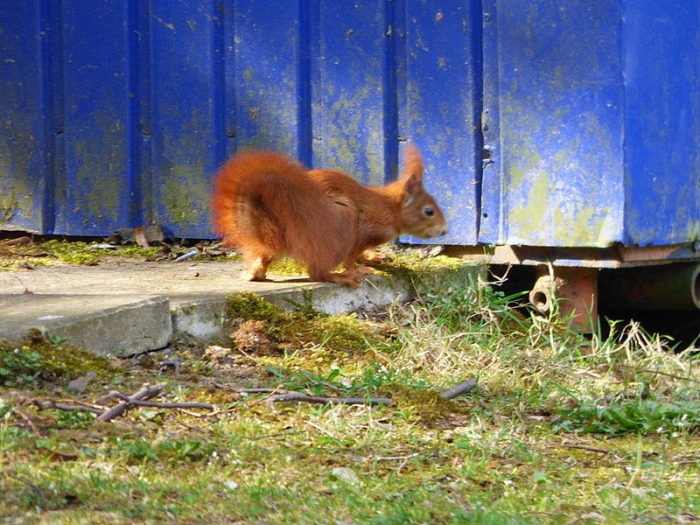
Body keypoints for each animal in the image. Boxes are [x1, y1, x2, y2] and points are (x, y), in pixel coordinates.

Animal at [211, 144, 448, 288]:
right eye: (429, 211)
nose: (445, 230)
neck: (390, 208)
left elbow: (360, 254)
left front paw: (371, 257)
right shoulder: (366, 230)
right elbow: (351, 257)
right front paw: (358, 268)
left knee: (265, 255)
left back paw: (254, 273)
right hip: (341, 221)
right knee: (318, 273)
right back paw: (339, 277)